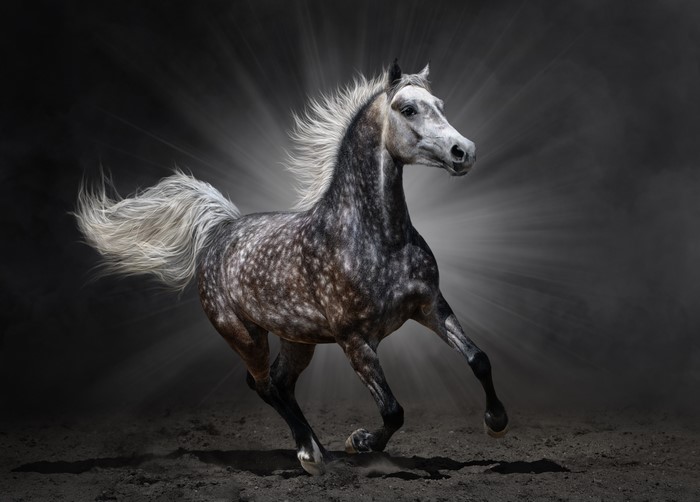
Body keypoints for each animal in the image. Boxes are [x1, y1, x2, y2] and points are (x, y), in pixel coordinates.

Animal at [75, 61, 509, 475]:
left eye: (440, 105)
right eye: (408, 109)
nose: (464, 151)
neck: (378, 239)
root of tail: (221, 230)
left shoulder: (431, 307)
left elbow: (479, 359)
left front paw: (496, 423)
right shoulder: (355, 340)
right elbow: (392, 411)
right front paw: (359, 442)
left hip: (297, 339)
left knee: (280, 385)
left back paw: (316, 450)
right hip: (244, 335)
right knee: (263, 385)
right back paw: (312, 455)